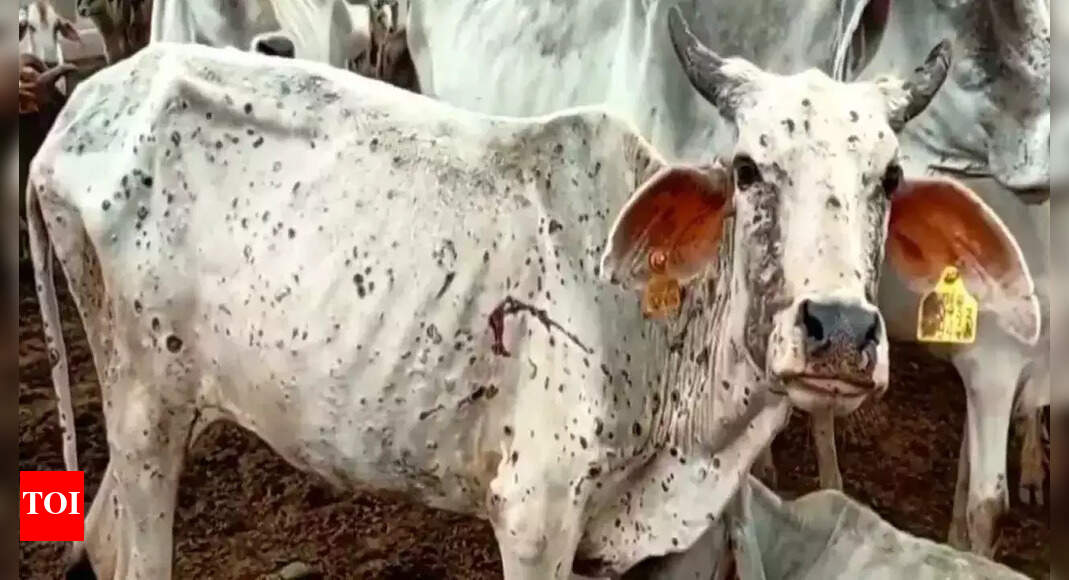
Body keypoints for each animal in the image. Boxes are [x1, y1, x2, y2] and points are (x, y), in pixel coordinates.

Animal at [28, 19, 1034, 580]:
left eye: (888, 177)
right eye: (749, 168)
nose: (838, 331)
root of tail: (84, 105)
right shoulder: (535, 513)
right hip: (145, 410)